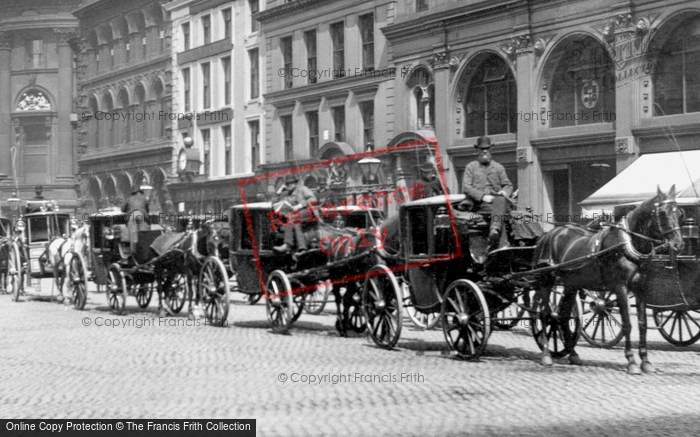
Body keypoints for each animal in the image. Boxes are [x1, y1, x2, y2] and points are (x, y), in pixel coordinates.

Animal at [532, 186, 680, 372]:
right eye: (662, 213)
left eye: (679, 212)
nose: (678, 243)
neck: (628, 244)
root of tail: (548, 234)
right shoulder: (621, 288)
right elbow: (627, 324)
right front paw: (631, 361)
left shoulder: (640, 290)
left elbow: (642, 324)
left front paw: (646, 361)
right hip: (547, 281)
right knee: (545, 314)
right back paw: (546, 354)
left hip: (571, 285)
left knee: (563, 316)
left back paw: (573, 354)